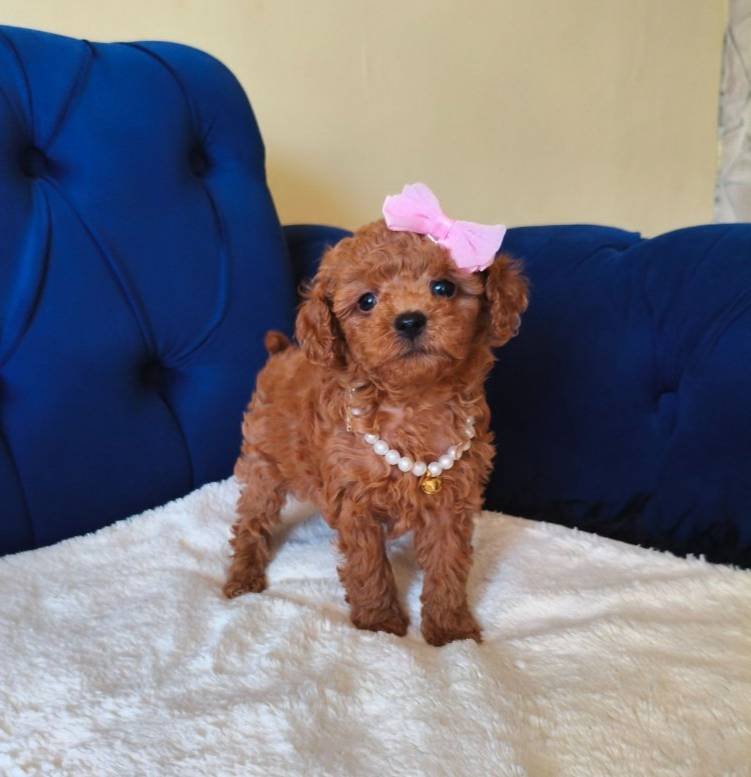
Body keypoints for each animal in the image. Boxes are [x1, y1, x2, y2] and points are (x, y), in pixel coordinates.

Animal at [223, 188, 528, 646]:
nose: (410, 320)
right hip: (263, 464)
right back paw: (243, 576)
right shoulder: (357, 501)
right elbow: (368, 567)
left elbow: (448, 563)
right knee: (251, 521)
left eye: (443, 287)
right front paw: (380, 624)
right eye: (366, 301)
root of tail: (281, 352)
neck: (413, 402)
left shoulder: (452, 500)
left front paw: (450, 630)